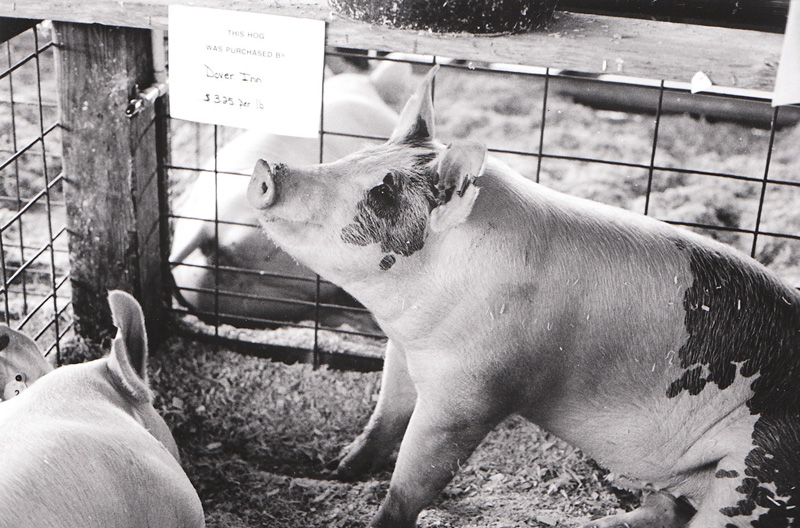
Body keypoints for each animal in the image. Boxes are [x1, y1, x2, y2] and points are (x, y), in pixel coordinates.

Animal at [247, 65, 800, 528]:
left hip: (758, 469)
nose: (267, 168)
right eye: (355, 156)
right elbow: (384, 417)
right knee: (664, 508)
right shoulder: (403, 350)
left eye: (382, 194)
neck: (412, 318)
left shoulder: (473, 391)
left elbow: (417, 474)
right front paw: (337, 468)